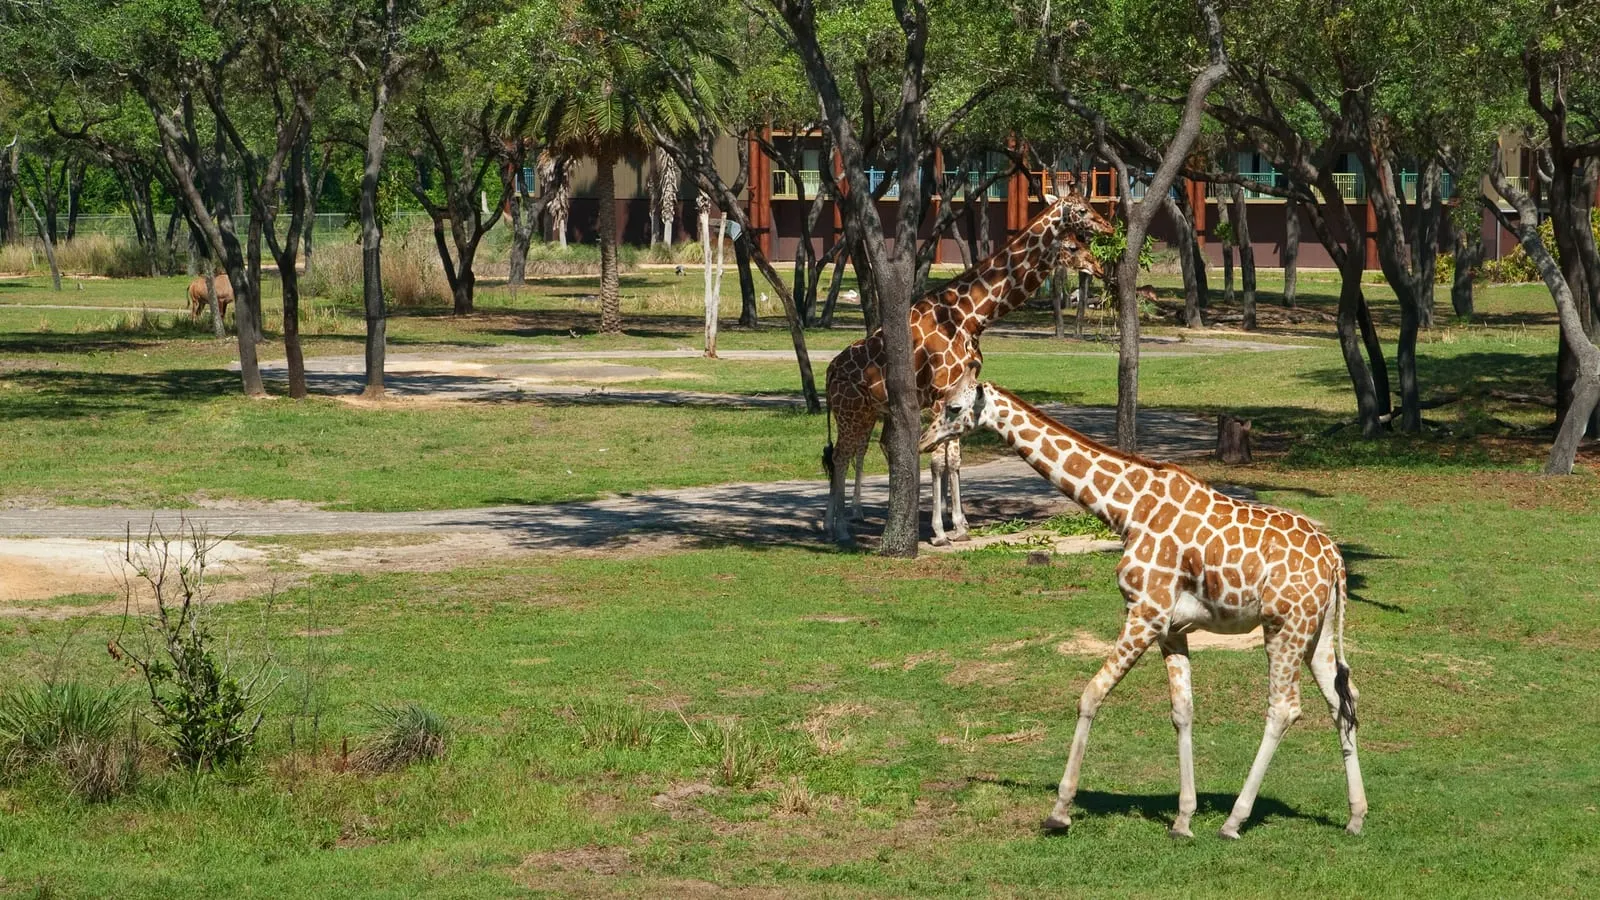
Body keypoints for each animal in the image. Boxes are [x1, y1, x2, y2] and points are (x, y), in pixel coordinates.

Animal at [823, 183, 1114, 545]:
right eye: (1081, 219)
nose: (1109, 230)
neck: (973, 315)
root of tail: (830, 372)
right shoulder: (941, 392)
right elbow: (939, 460)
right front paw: (939, 531)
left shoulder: (960, 391)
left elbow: (954, 458)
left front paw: (959, 525)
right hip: (851, 411)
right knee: (842, 456)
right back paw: (839, 528)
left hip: (871, 411)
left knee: (865, 451)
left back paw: (850, 520)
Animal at [920, 377, 1367, 840]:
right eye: (940, 403)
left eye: (953, 408)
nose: (924, 440)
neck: (1127, 510)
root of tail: (1335, 561)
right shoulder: (1172, 627)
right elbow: (1183, 711)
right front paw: (1183, 818)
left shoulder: (1145, 613)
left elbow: (1091, 694)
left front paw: (1059, 811)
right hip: (1317, 630)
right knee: (1343, 700)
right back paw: (1355, 817)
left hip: (1283, 625)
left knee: (1284, 708)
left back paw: (1234, 820)